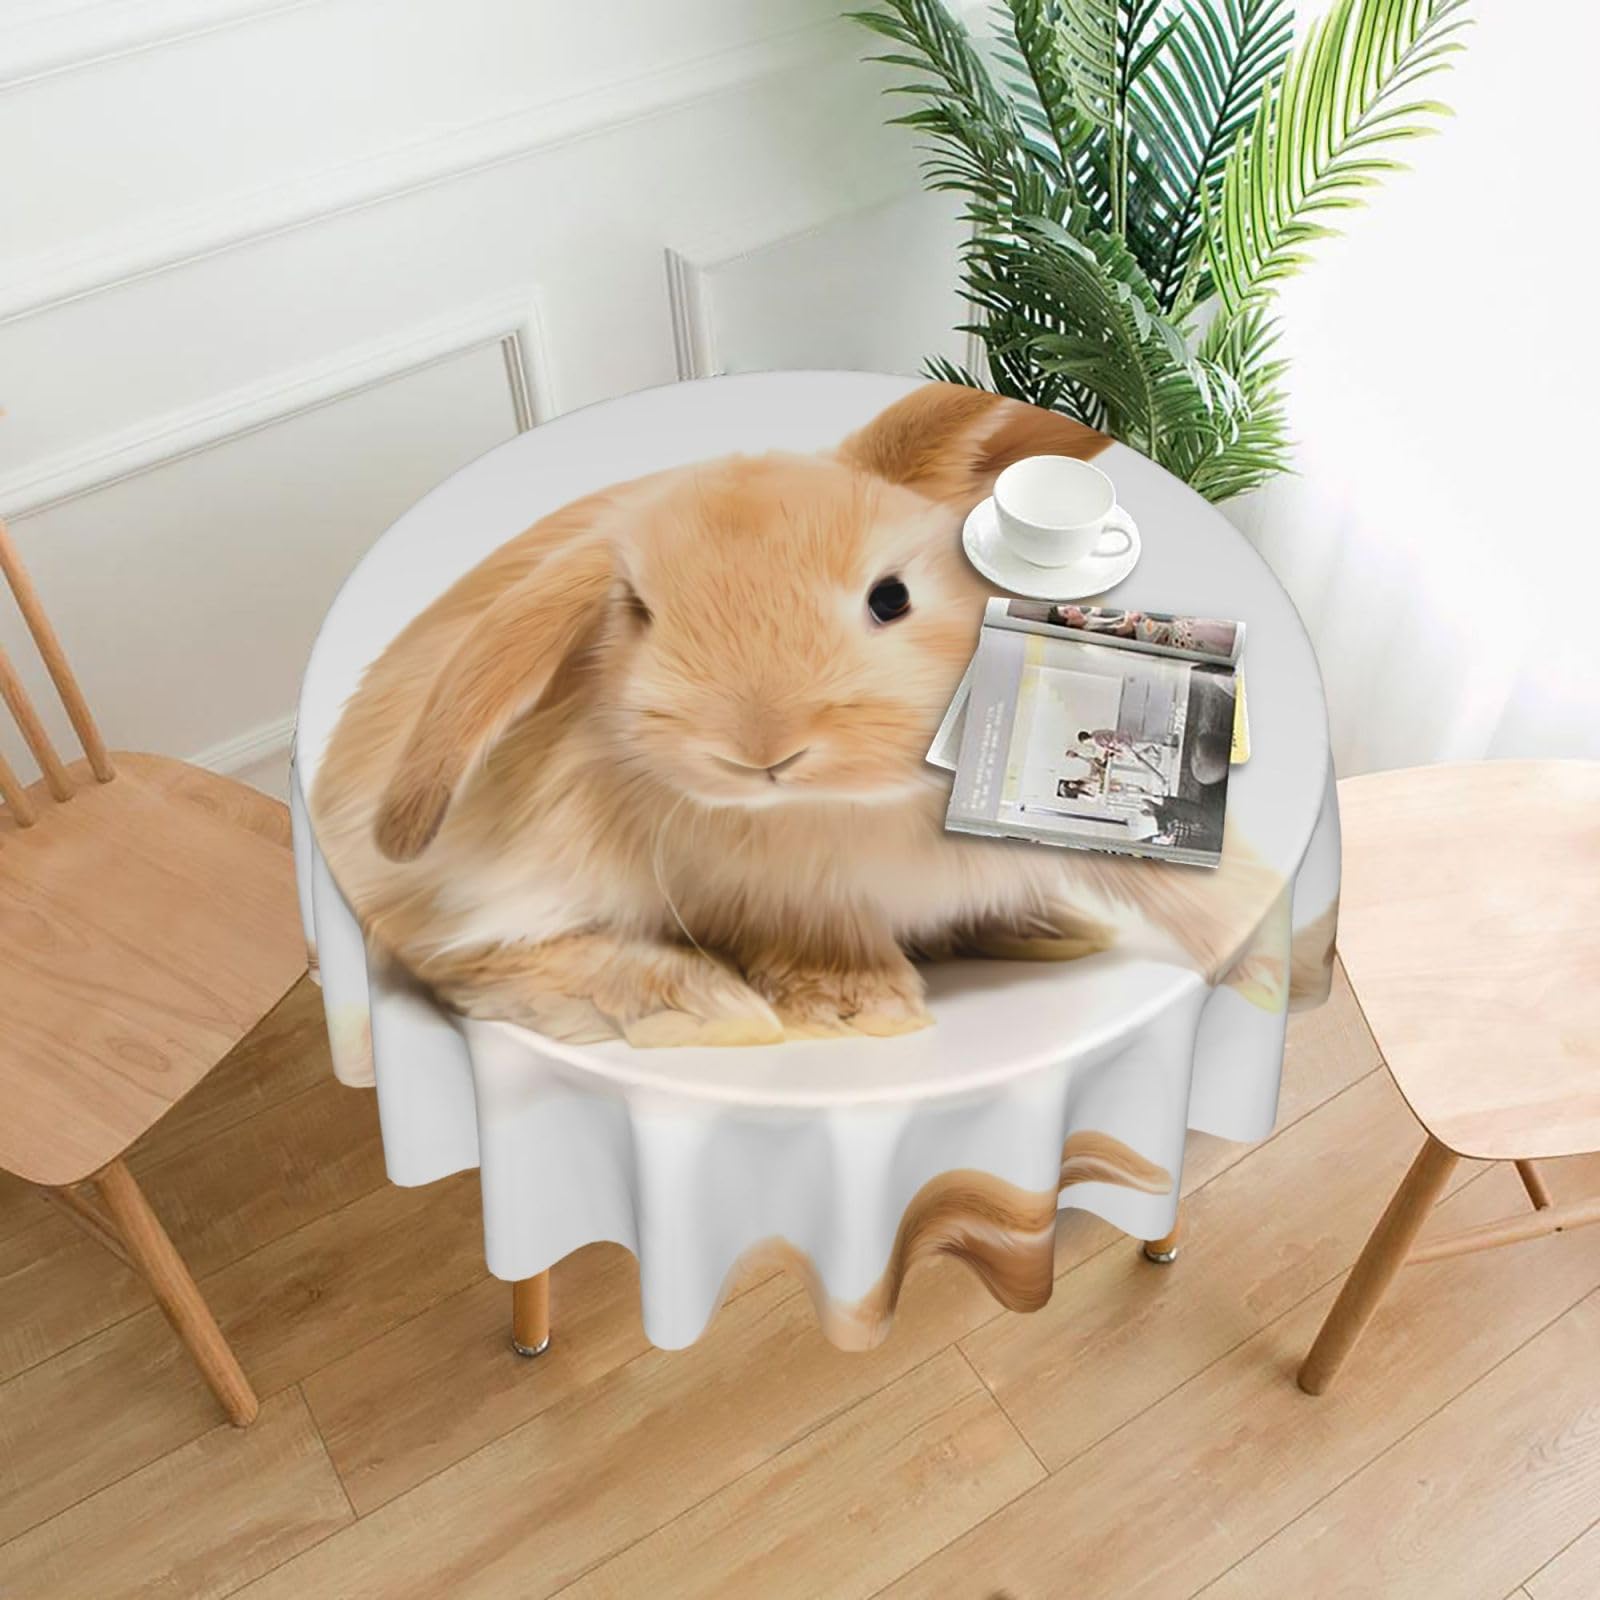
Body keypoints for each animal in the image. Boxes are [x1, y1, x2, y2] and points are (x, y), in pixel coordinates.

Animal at [310, 382, 1277, 1047]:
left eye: (891, 598)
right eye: (636, 614)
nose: (760, 749)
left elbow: (1202, 889)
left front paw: (1262, 952)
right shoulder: (772, 899)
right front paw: (861, 1011)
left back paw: (1047, 927)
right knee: (467, 959)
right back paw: (703, 1007)